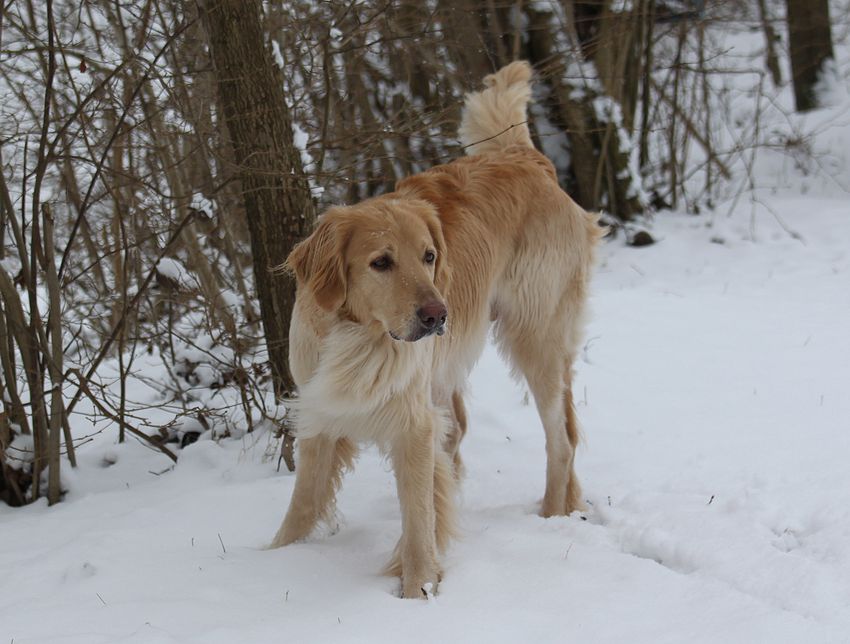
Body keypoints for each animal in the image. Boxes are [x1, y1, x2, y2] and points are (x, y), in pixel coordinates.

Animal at [270, 61, 604, 598]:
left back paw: (553, 515)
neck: (360, 336)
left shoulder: (412, 424)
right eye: (381, 262)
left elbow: (418, 517)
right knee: (465, 431)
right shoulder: (320, 413)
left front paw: (419, 589)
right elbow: (301, 507)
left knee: (563, 436)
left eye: (429, 256)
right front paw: (274, 561)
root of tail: (526, 157)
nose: (437, 315)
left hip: (536, 337)